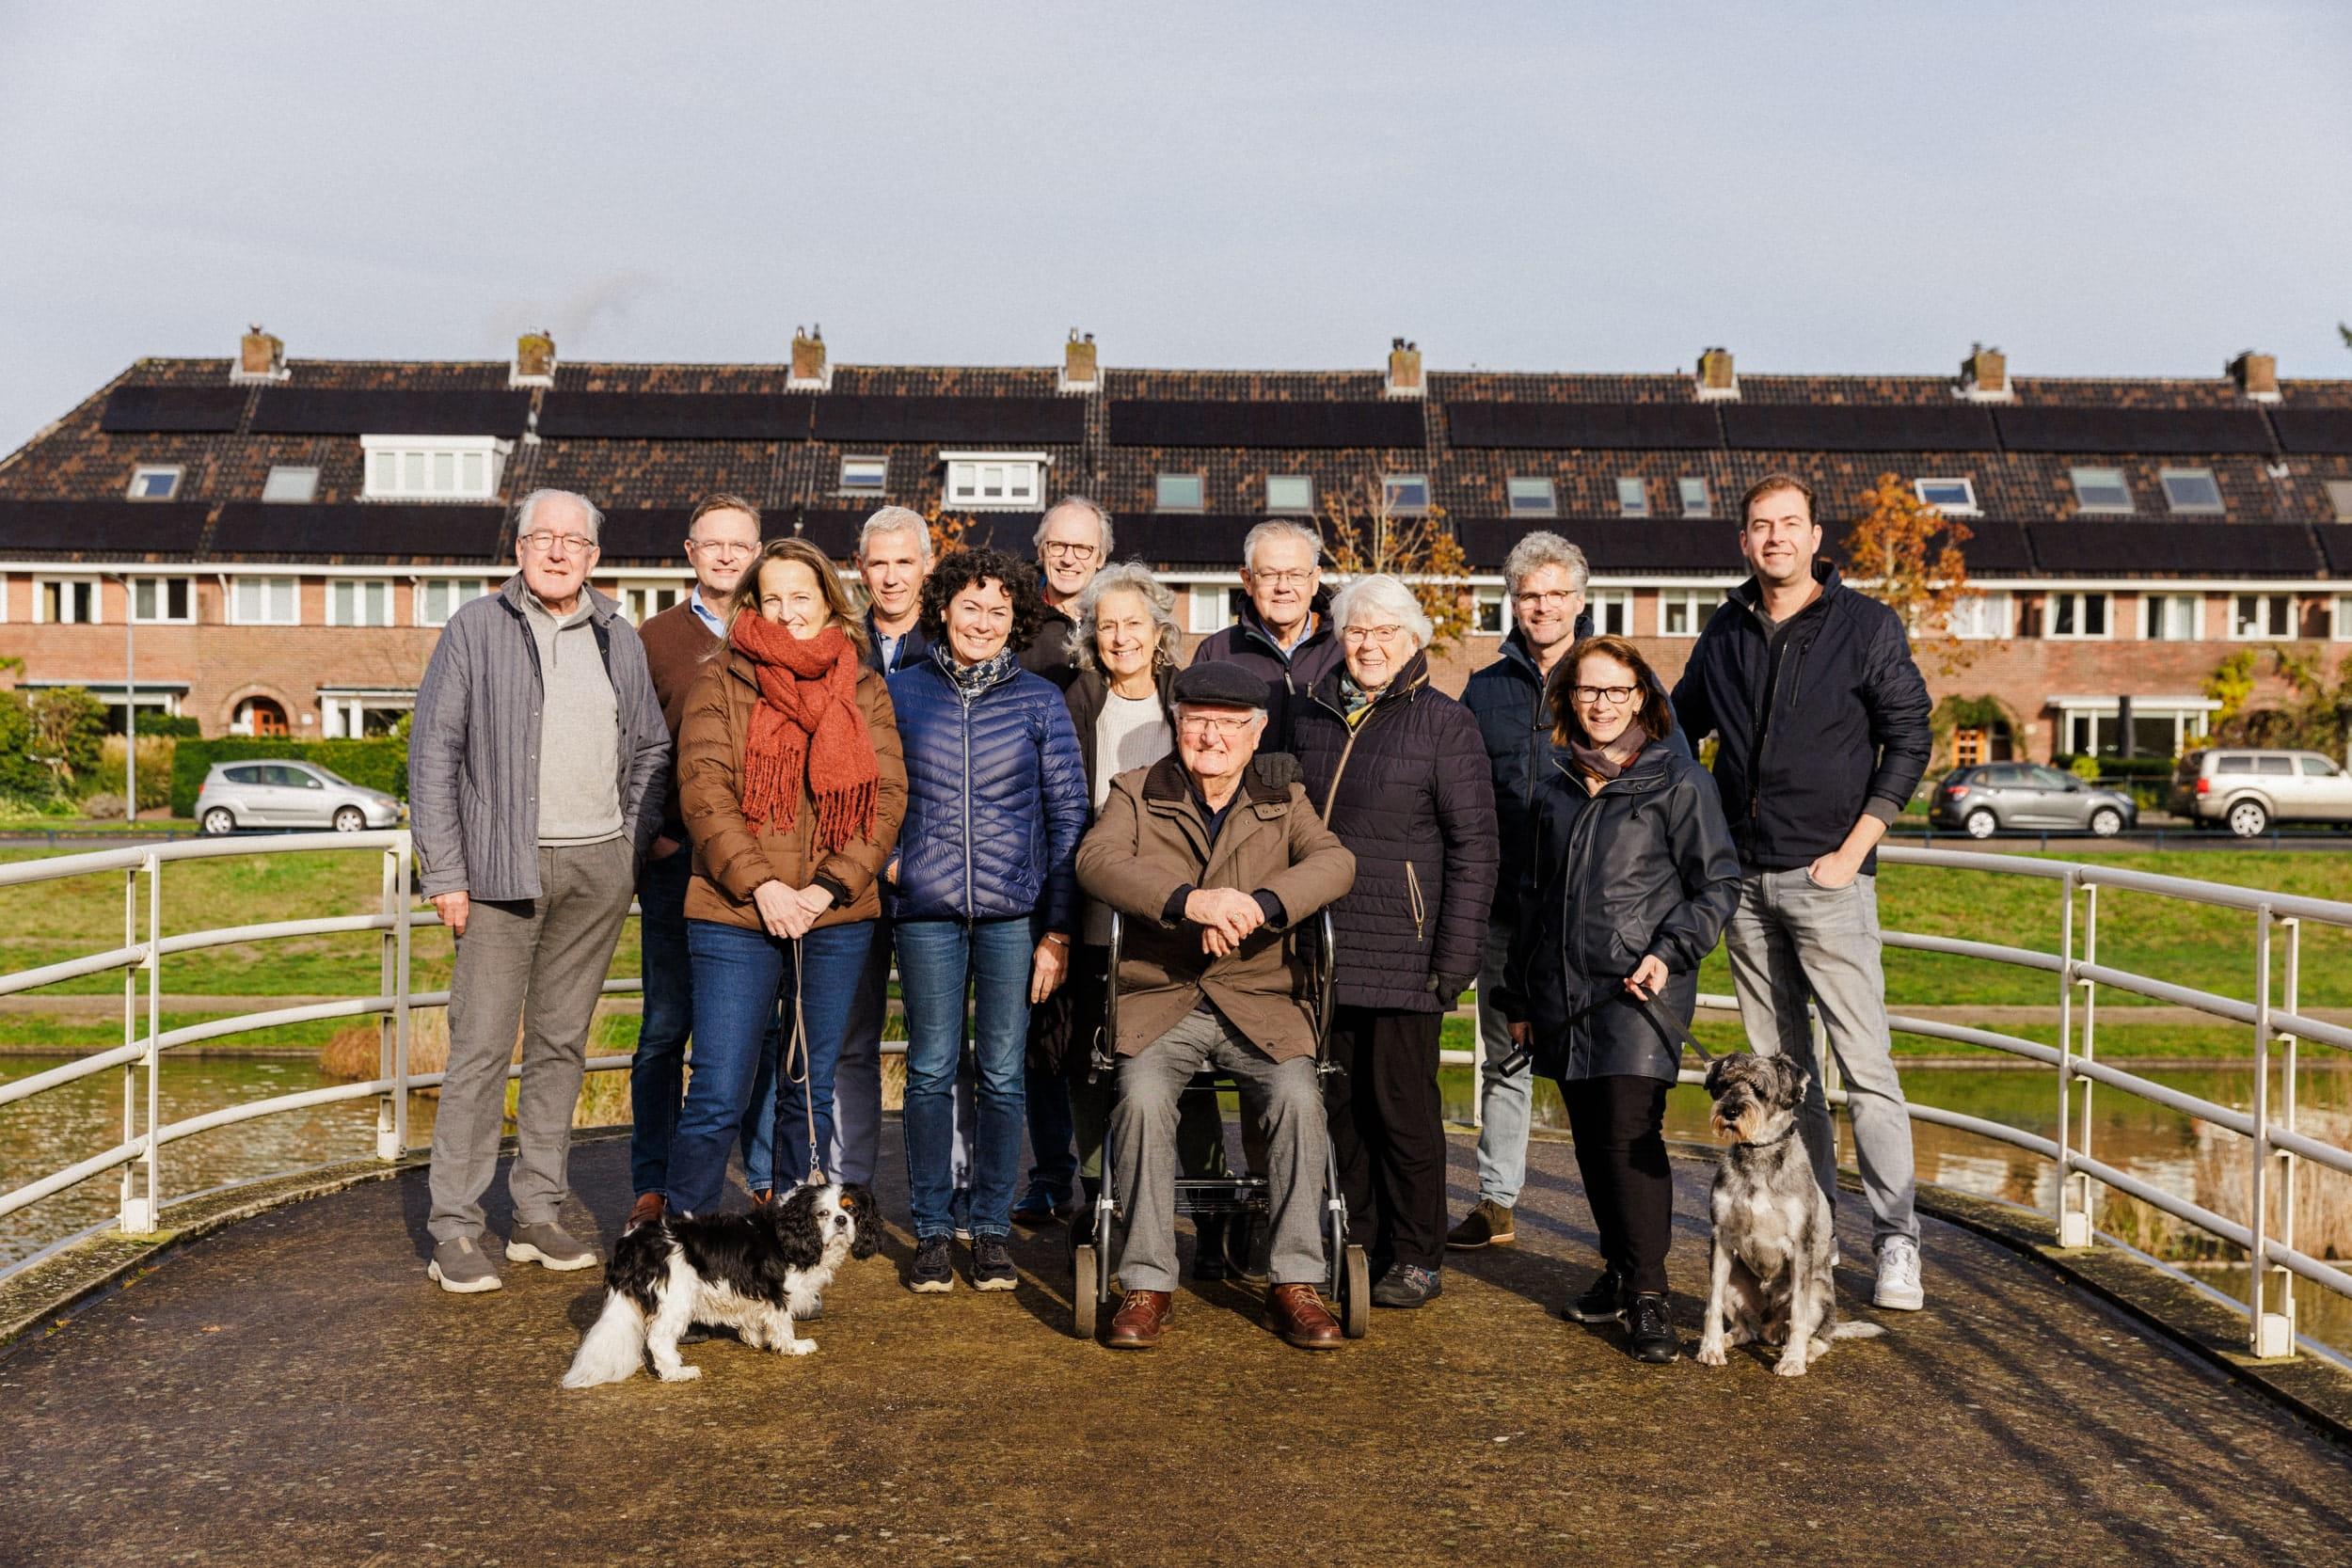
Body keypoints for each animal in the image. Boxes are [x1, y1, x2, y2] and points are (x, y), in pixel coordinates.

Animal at [562, 1184, 884, 1391]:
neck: (791, 1231)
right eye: (822, 1214)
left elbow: (755, 1318)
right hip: (676, 1300)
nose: (842, 1221)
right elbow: (782, 1324)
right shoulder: (778, 1291)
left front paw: (756, 1338)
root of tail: (631, 1245)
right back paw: (678, 1372)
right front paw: (793, 1346)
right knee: (658, 1340)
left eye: (852, 1210)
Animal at [1703, 1053, 1882, 1372]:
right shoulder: (1721, 1238)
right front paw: (1710, 1349)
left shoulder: (1800, 1247)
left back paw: (1806, 1350)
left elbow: (1798, 1314)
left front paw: (1793, 1361)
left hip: (1820, 1296)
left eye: (1759, 1089)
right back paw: (1727, 1338)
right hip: (1735, 1281)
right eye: (1724, 1084)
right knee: (1745, 1329)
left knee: (1822, 1335)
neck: (1758, 1154)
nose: (1731, 1111)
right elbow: (1712, 1303)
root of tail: (1769, 1329)